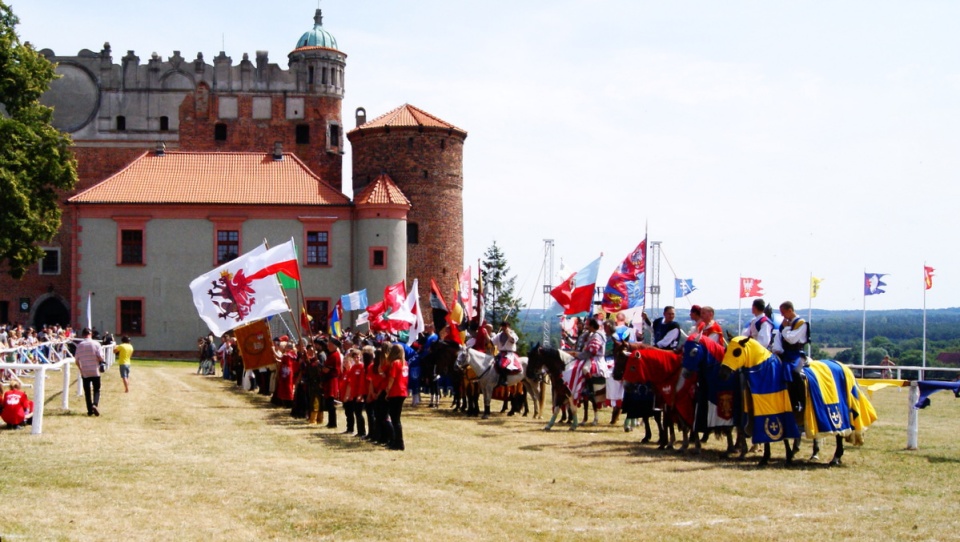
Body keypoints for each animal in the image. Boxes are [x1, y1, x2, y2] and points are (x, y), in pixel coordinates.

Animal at [720, 336, 876, 468]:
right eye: (727, 350)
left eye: (737, 352)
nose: (724, 373)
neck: (767, 374)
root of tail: (843, 367)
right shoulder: (766, 411)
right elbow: (769, 436)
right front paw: (766, 458)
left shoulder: (781, 412)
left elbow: (784, 436)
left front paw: (787, 457)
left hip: (839, 412)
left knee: (839, 433)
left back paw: (834, 458)